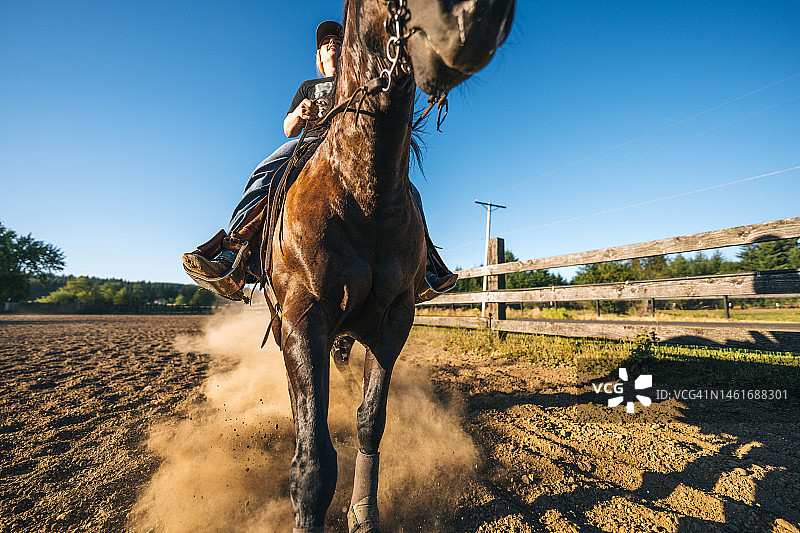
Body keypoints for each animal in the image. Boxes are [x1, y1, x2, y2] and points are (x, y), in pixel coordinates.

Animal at [265, 1, 515, 531]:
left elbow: (370, 420)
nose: (475, 17)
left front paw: (363, 511)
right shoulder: (303, 317)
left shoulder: (394, 318)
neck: (363, 193)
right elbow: (314, 458)